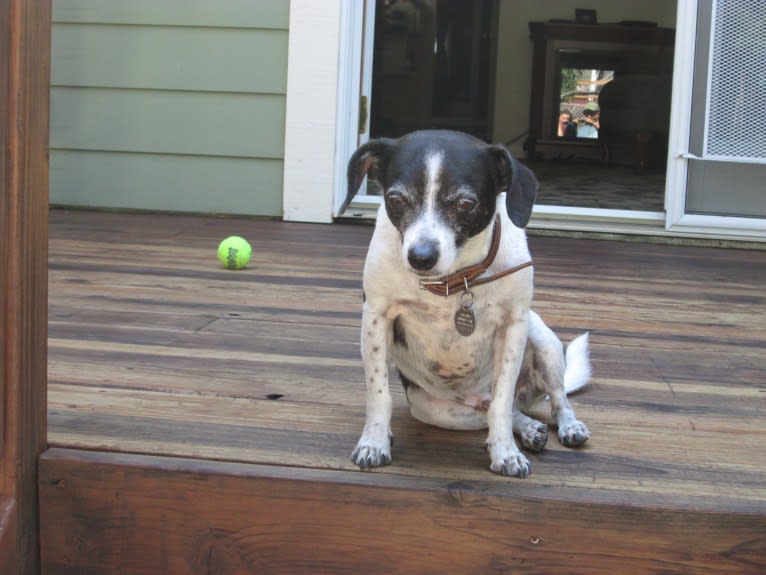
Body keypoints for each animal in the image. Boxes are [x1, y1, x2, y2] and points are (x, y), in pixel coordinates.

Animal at [344, 130, 592, 476]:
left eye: (465, 203)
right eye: (395, 199)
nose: (420, 257)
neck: (452, 280)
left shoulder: (514, 326)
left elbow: (502, 402)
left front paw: (506, 453)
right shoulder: (377, 318)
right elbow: (379, 395)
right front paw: (374, 443)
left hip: (544, 340)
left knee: (551, 400)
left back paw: (566, 426)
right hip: (433, 409)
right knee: (494, 412)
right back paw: (529, 428)